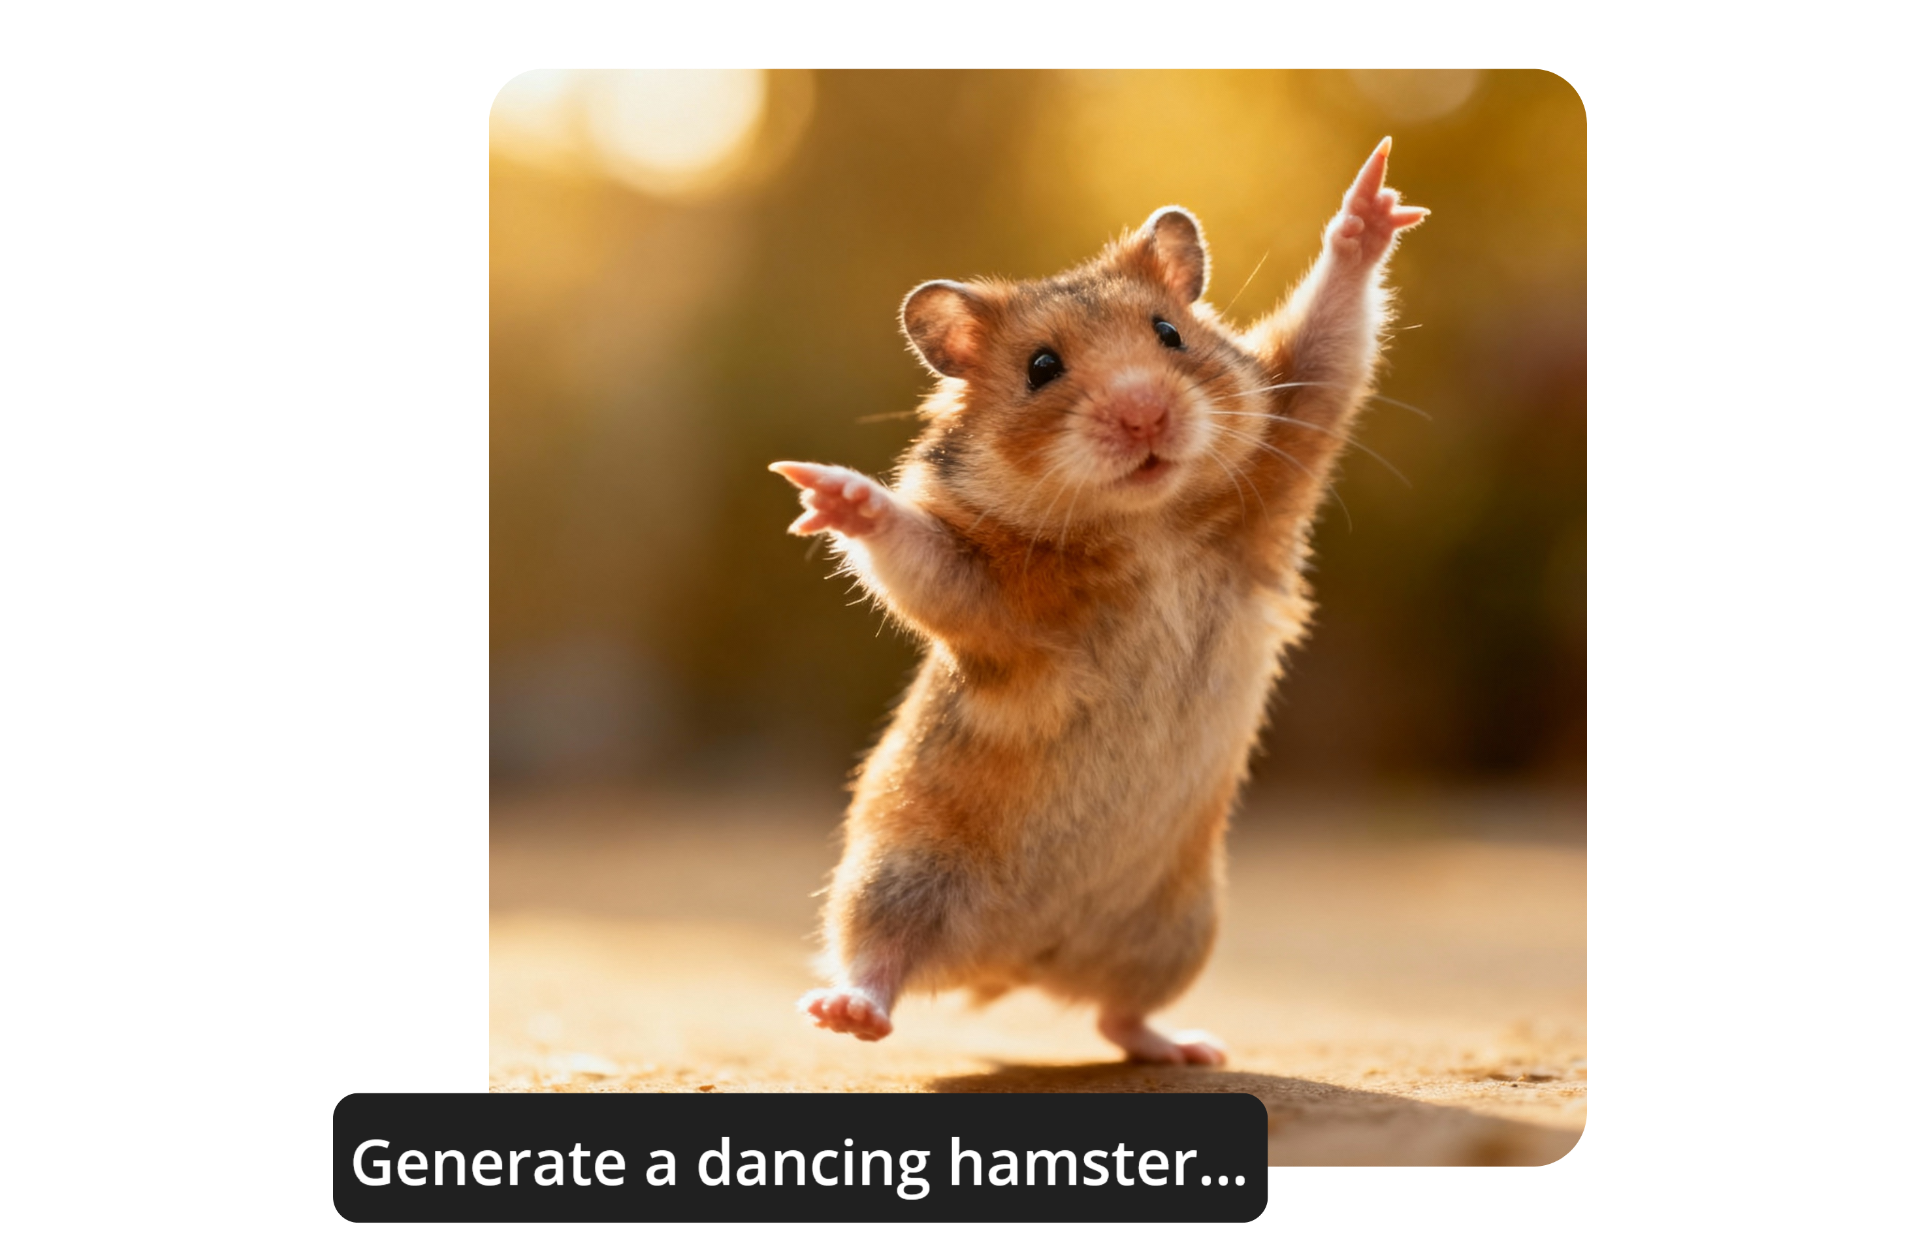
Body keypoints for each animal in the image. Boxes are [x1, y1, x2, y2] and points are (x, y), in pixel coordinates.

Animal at [771, 139, 1427, 1064]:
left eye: (1170, 334)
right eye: (1041, 368)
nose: (1145, 414)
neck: (1142, 523)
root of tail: (1014, 965)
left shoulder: (1294, 430)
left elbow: (1334, 341)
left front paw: (1371, 202)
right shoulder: (988, 603)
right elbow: (912, 551)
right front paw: (829, 491)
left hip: (1178, 929)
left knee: (1119, 1013)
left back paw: (1190, 1048)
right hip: (896, 877)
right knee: (879, 960)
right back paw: (848, 1012)